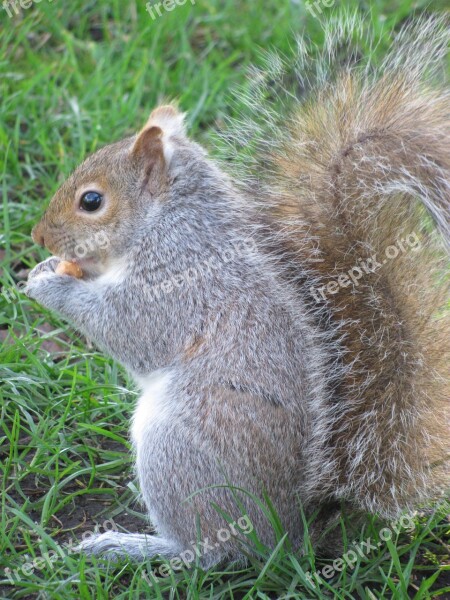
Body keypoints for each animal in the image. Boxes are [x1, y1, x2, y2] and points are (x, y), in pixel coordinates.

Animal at [26, 15, 448, 568]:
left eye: (91, 201)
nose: (39, 237)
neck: (169, 222)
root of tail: (290, 532)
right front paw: (48, 266)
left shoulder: (180, 282)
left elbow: (132, 329)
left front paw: (46, 282)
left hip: (177, 449)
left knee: (207, 553)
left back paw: (133, 546)